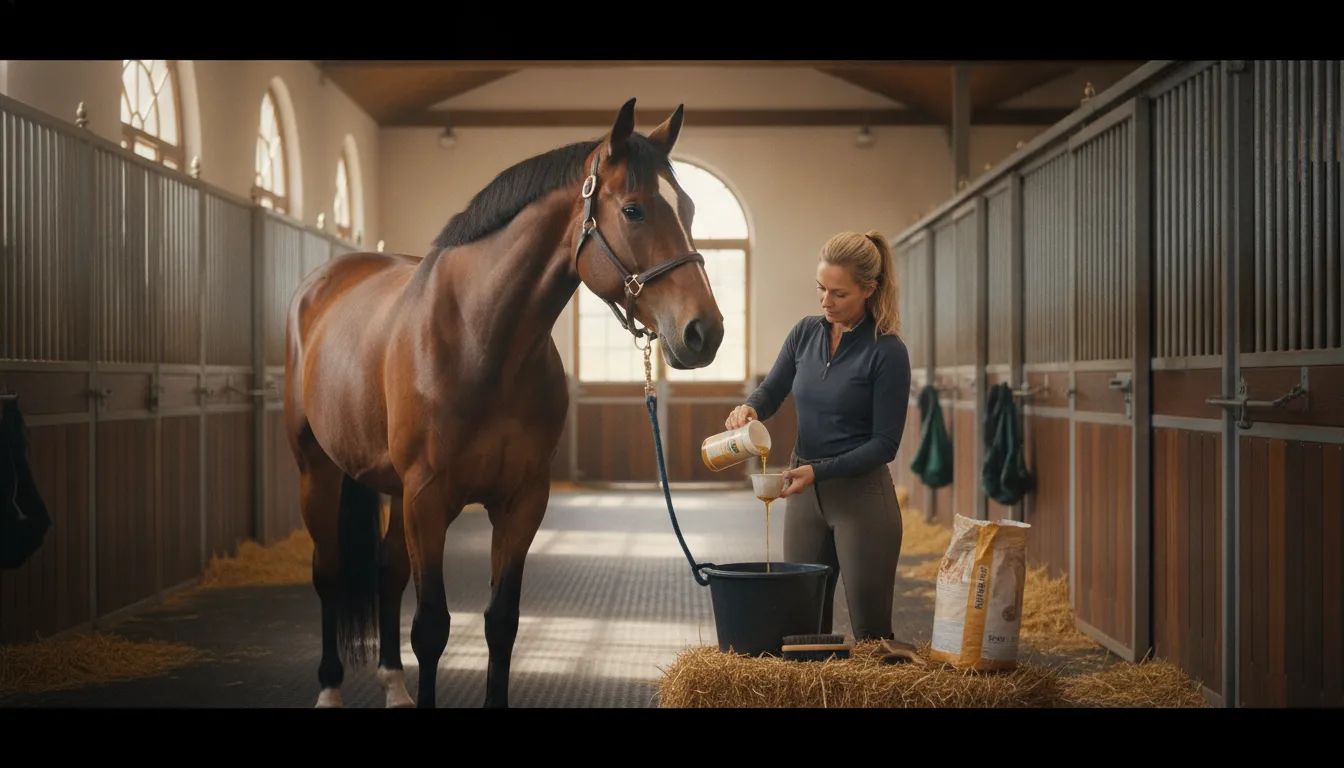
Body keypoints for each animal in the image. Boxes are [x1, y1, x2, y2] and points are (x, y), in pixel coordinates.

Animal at [283, 97, 725, 709]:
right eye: (634, 210)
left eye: (688, 207)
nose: (705, 332)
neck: (480, 340)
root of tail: (325, 281)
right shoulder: (427, 499)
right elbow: (433, 628)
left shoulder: (521, 500)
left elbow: (501, 622)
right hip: (318, 469)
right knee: (328, 573)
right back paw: (329, 688)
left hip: (390, 487)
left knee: (386, 571)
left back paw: (394, 685)